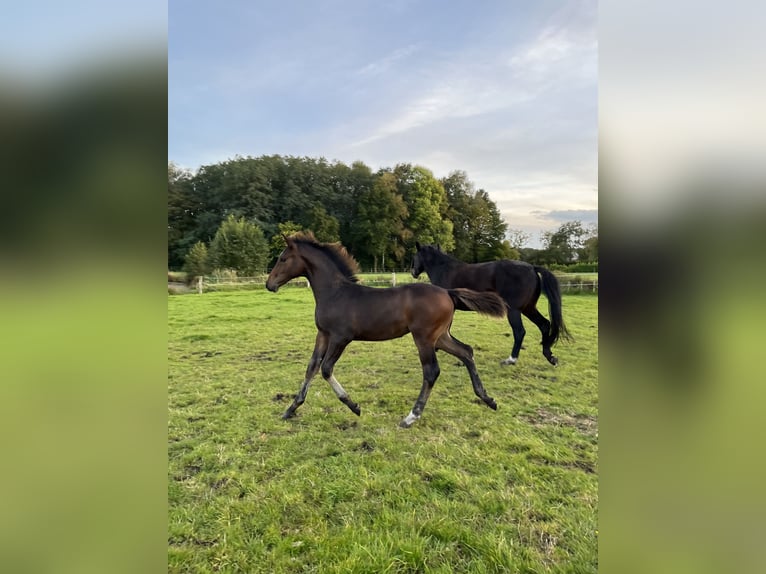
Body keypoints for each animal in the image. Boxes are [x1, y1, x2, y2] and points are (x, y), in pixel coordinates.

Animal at [268, 233, 508, 428]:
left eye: (283, 259)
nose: (269, 284)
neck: (334, 292)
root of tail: (448, 292)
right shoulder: (323, 335)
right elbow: (311, 368)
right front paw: (290, 409)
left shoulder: (340, 337)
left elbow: (326, 369)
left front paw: (354, 406)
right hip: (440, 337)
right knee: (466, 352)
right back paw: (488, 399)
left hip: (424, 338)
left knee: (431, 371)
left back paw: (411, 417)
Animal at [414, 242, 568, 366]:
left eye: (414, 256)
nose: (414, 272)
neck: (444, 269)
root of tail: (532, 268)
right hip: (528, 308)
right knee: (544, 325)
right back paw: (550, 357)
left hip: (514, 310)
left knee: (520, 331)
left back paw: (511, 359)